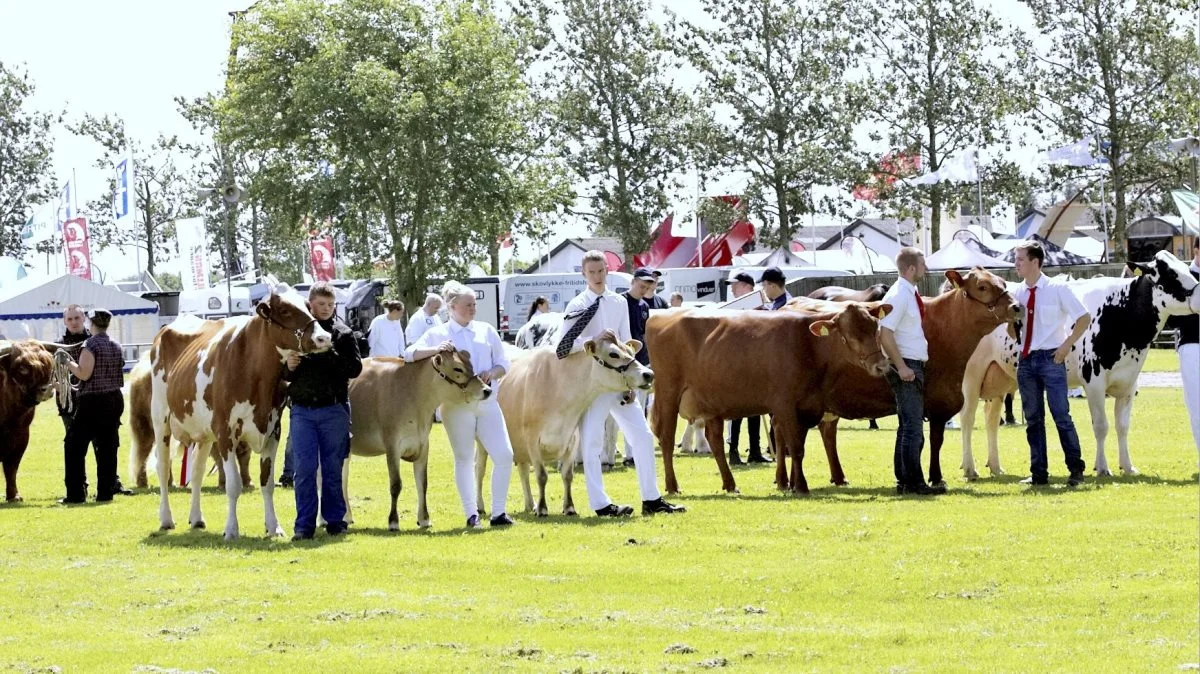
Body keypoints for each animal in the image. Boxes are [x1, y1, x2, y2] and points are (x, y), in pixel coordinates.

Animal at [148, 291, 333, 537]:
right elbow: (233, 485)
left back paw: (196, 518)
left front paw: (274, 526)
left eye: (308, 306)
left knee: (196, 471)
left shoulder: (273, 431)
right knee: (162, 466)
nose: (324, 338)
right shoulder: (225, 432)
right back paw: (166, 519)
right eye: (285, 310)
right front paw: (231, 529)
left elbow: (267, 483)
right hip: (161, 417)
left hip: (203, 432)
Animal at [648, 304, 892, 494]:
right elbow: (796, 447)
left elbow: (798, 445)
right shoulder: (785, 404)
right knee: (667, 439)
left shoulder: (809, 405)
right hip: (668, 393)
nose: (882, 365)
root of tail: (661, 315)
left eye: (875, 328)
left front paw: (792, 484)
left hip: (711, 402)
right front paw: (800, 487)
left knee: (715, 440)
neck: (808, 344)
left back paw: (730, 484)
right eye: (850, 335)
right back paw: (673, 486)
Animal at [787, 267, 1022, 486]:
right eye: (982, 287)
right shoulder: (937, 401)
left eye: (1002, 283)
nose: (1017, 306)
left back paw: (835, 477)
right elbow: (935, 439)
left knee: (825, 432)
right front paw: (935, 478)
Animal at [960, 250, 1200, 477]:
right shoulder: (1094, 381)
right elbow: (1101, 426)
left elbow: (1123, 427)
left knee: (991, 420)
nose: (1198, 296)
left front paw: (1128, 466)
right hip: (971, 377)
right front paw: (1102, 467)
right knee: (967, 418)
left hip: (1000, 378)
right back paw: (970, 468)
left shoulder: (1129, 384)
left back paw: (995, 466)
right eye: (1171, 274)